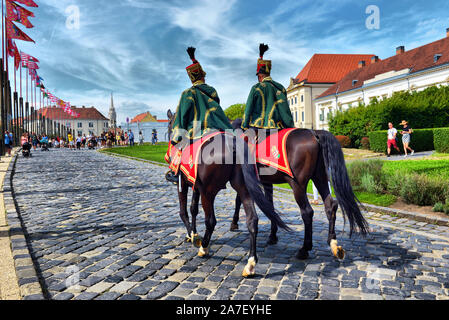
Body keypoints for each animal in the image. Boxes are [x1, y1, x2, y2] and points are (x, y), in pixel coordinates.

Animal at [166, 109, 288, 276]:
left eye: (169, 126)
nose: (171, 141)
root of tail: (234, 143)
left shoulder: (183, 184)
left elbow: (183, 212)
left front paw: (192, 235)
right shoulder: (195, 186)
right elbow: (193, 209)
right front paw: (192, 234)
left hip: (208, 193)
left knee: (211, 221)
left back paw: (204, 248)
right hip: (243, 189)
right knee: (252, 220)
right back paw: (250, 263)